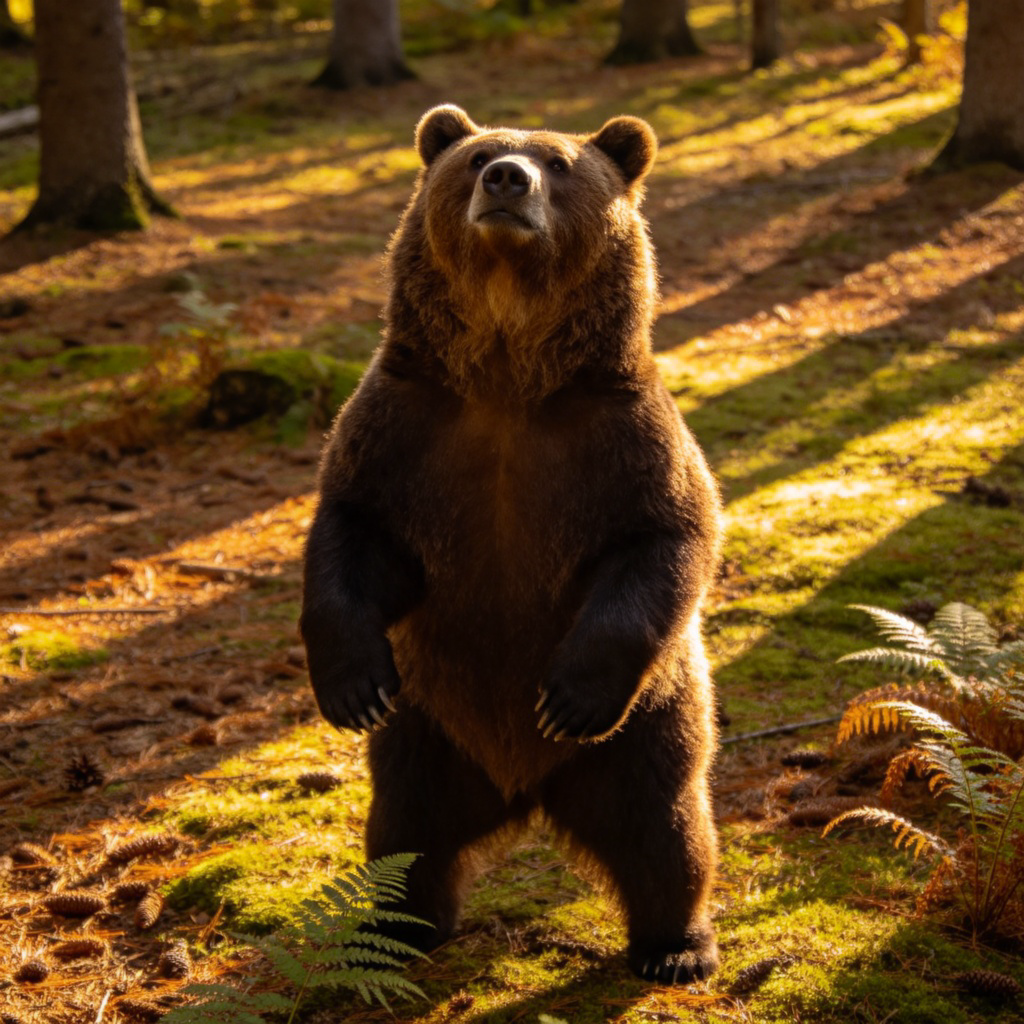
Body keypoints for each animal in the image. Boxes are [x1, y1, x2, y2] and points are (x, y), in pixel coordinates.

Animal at [300, 104, 722, 984]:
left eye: (558, 162)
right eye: (477, 157)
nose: (506, 179)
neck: (506, 372)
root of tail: (521, 790)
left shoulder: (619, 438)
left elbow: (666, 539)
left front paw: (568, 696)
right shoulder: (404, 431)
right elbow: (352, 534)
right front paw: (351, 685)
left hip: (645, 730)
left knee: (667, 830)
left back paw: (677, 946)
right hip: (427, 733)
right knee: (403, 837)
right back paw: (398, 929)